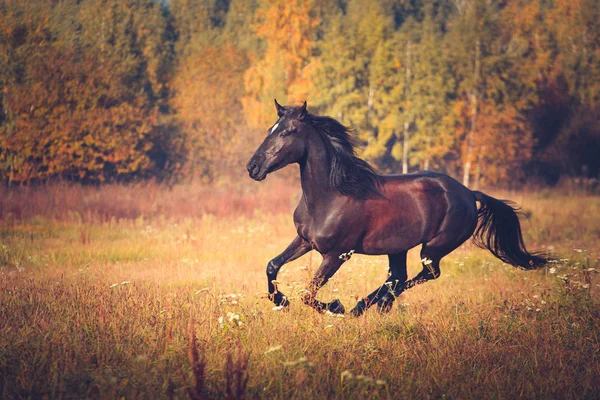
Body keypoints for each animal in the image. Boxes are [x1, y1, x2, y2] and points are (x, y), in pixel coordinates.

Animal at [245, 100, 548, 316]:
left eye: (287, 132)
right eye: (270, 130)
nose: (253, 167)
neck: (330, 196)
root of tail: (468, 193)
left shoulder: (337, 254)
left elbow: (308, 294)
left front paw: (335, 307)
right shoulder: (305, 240)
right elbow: (272, 265)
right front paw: (280, 300)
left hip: (434, 248)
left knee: (424, 275)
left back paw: (366, 305)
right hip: (398, 247)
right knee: (397, 277)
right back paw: (371, 305)